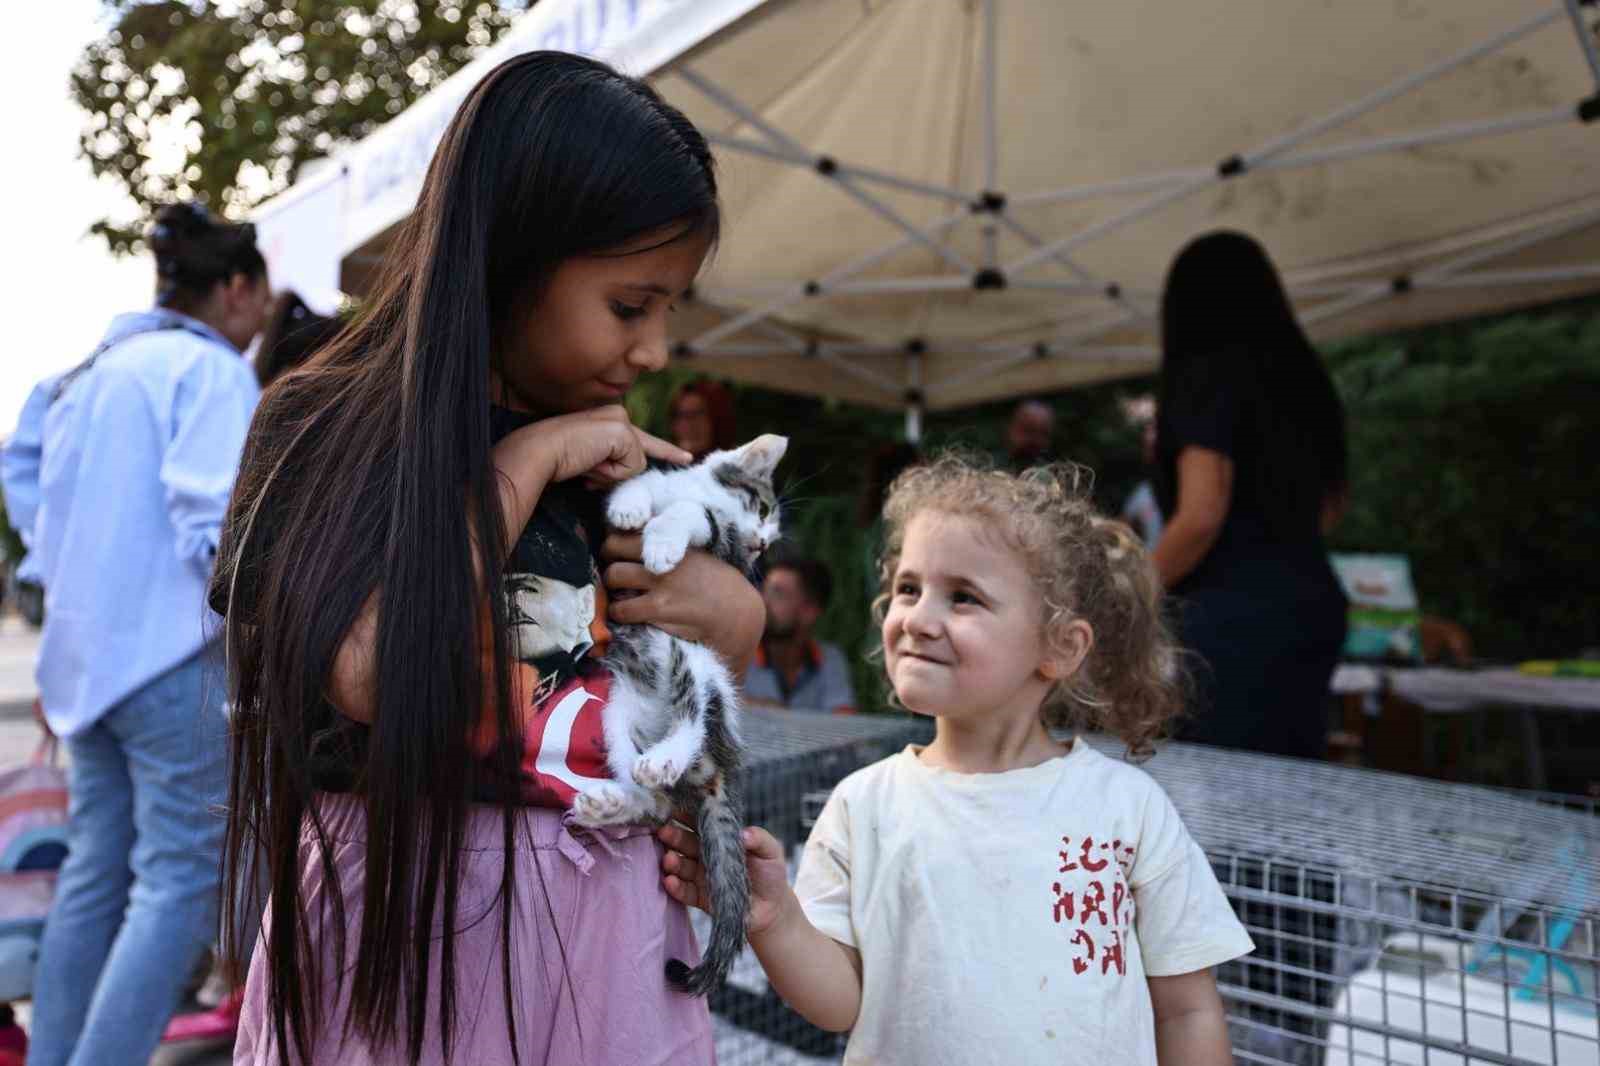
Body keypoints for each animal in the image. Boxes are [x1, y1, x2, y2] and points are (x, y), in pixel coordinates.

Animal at [572, 428, 790, 992]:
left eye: (770, 535)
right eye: (762, 508)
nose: (761, 544)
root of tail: (715, 772)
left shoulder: (719, 543)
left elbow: (692, 515)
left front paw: (663, 544)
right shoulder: (665, 484)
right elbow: (644, 486)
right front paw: (628, 508)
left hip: (692, 661)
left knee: (694, 717)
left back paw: (665, 758)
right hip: (616, 709)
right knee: (655, 803)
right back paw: (615, 800)